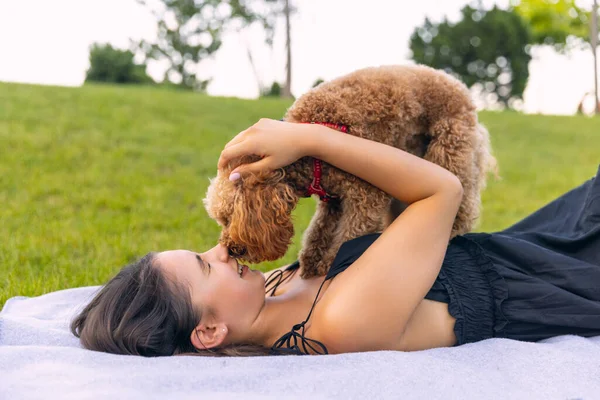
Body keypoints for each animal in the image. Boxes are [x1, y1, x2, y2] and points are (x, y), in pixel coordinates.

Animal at [204, 65, 494, 278]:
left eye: (228, 218)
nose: (231, 249)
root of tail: (460, 86)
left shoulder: (365, 195)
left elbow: (350, 233)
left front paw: (330, 263)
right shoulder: (332, 200)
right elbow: (319, 230)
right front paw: (310, 263)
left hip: (449, 146)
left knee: (462, 202)